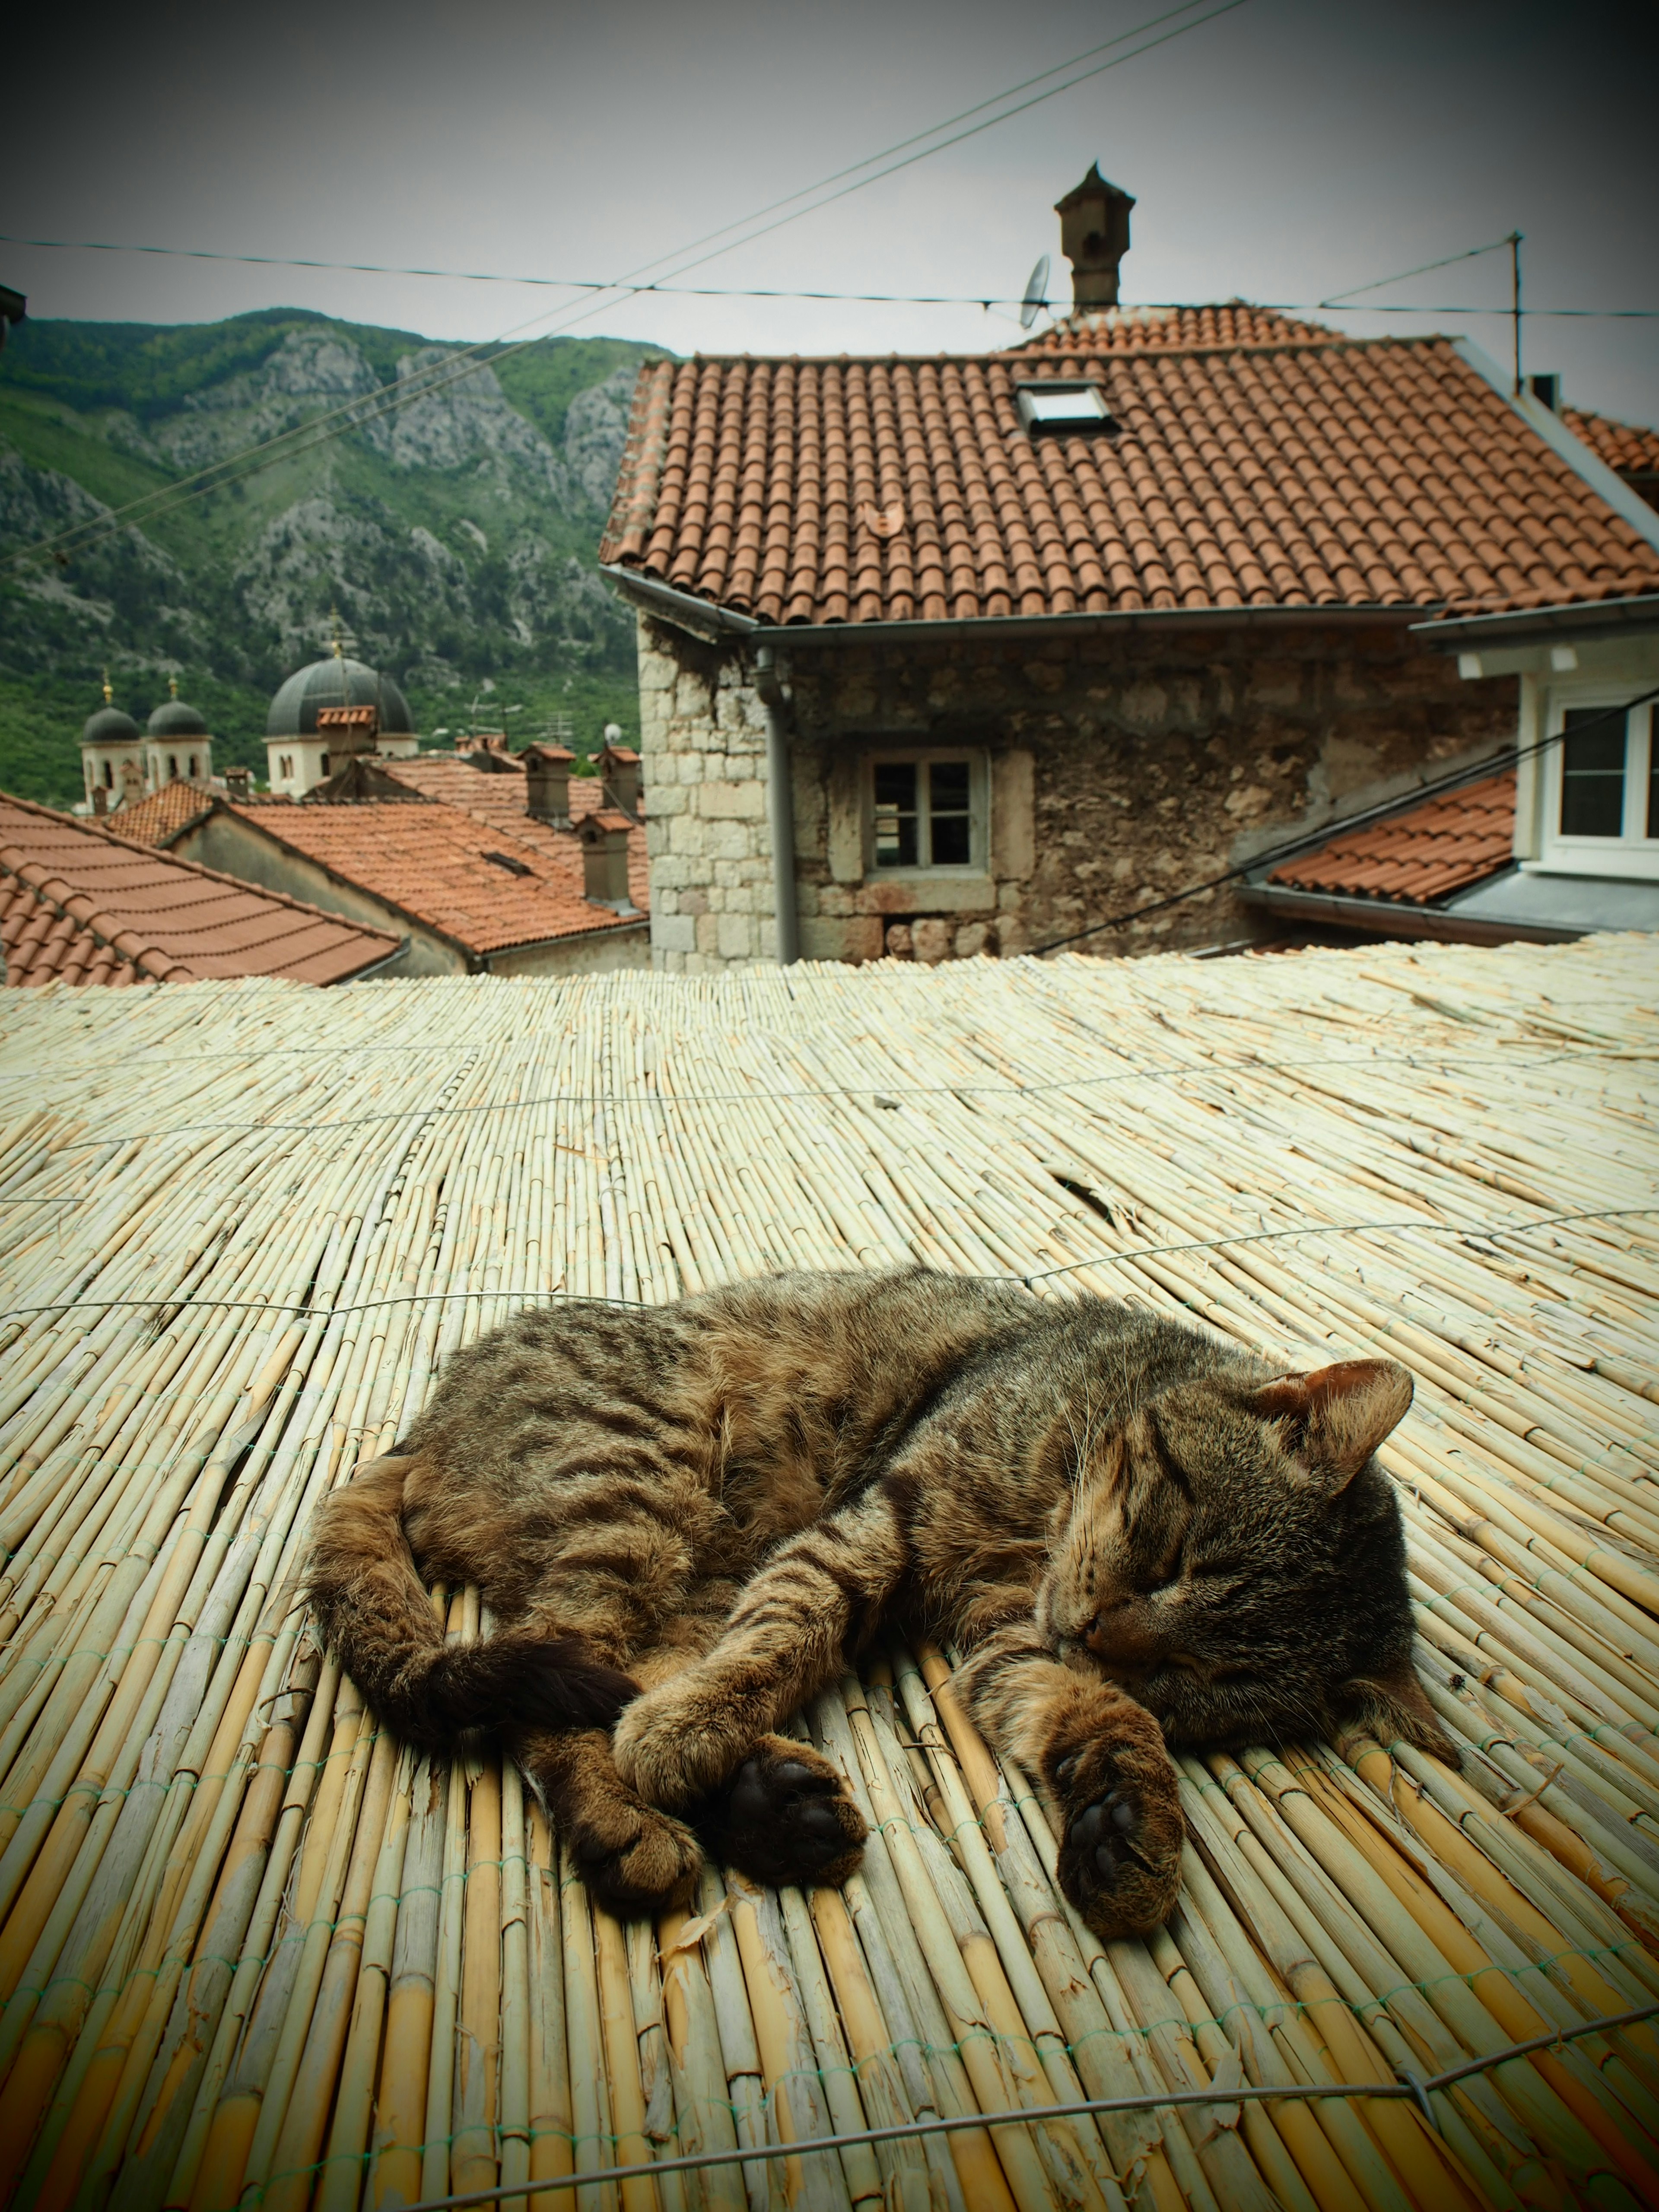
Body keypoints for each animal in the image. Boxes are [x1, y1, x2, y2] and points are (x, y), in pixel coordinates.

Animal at [309, 1274, 1451, 1929]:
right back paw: (634, 1814)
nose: (1091, 1629)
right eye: (1172, 1551)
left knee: (609, 1677)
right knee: (557, 1683)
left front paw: (1130, 1815)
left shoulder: (1005, 1639)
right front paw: (691, 1727)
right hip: (640, 1485)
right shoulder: (882, 1522)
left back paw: (767, 1807)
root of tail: (422, 1425)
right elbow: (779, 1636)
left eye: (1188, 1673)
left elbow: (1092, 1713)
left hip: (684, 1566)